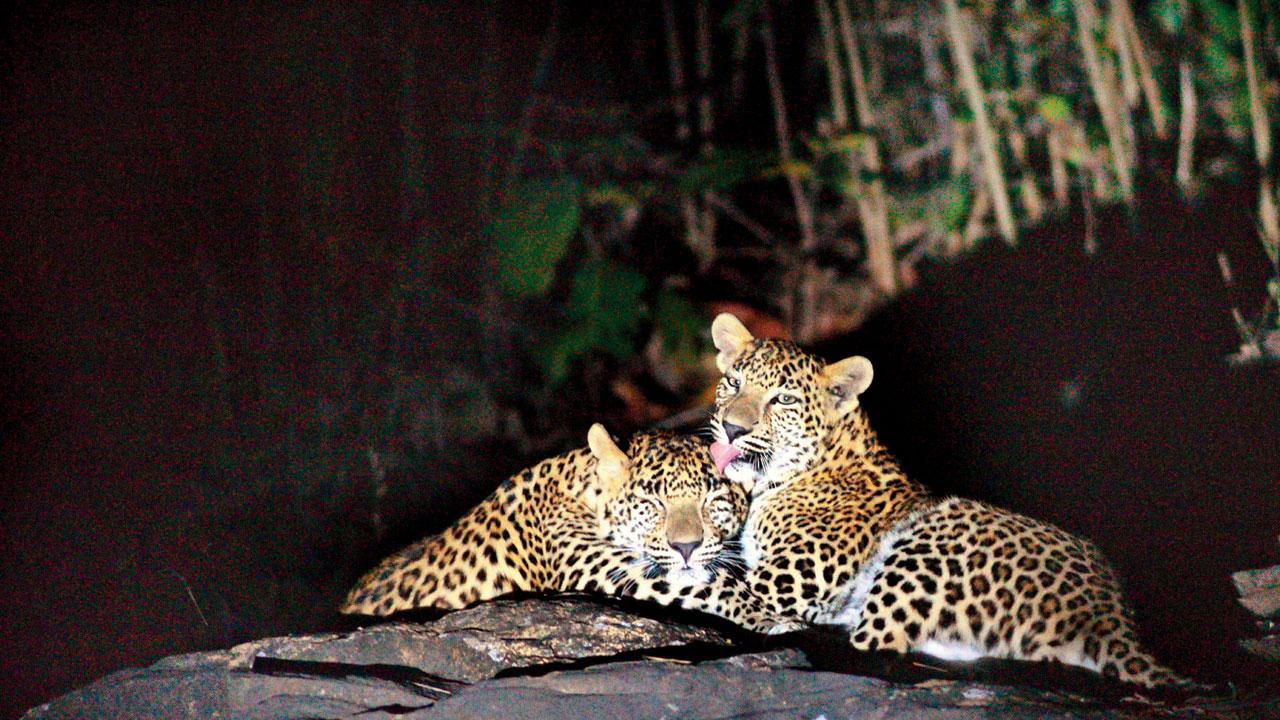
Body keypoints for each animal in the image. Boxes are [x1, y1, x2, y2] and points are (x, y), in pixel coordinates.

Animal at [622, 316, 1198, 686]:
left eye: (781, 399)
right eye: (733, 383)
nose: (732, 429)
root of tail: (1113, 615)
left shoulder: (776, 587)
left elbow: (696, 581)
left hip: (932, 537)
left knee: (876, 641)